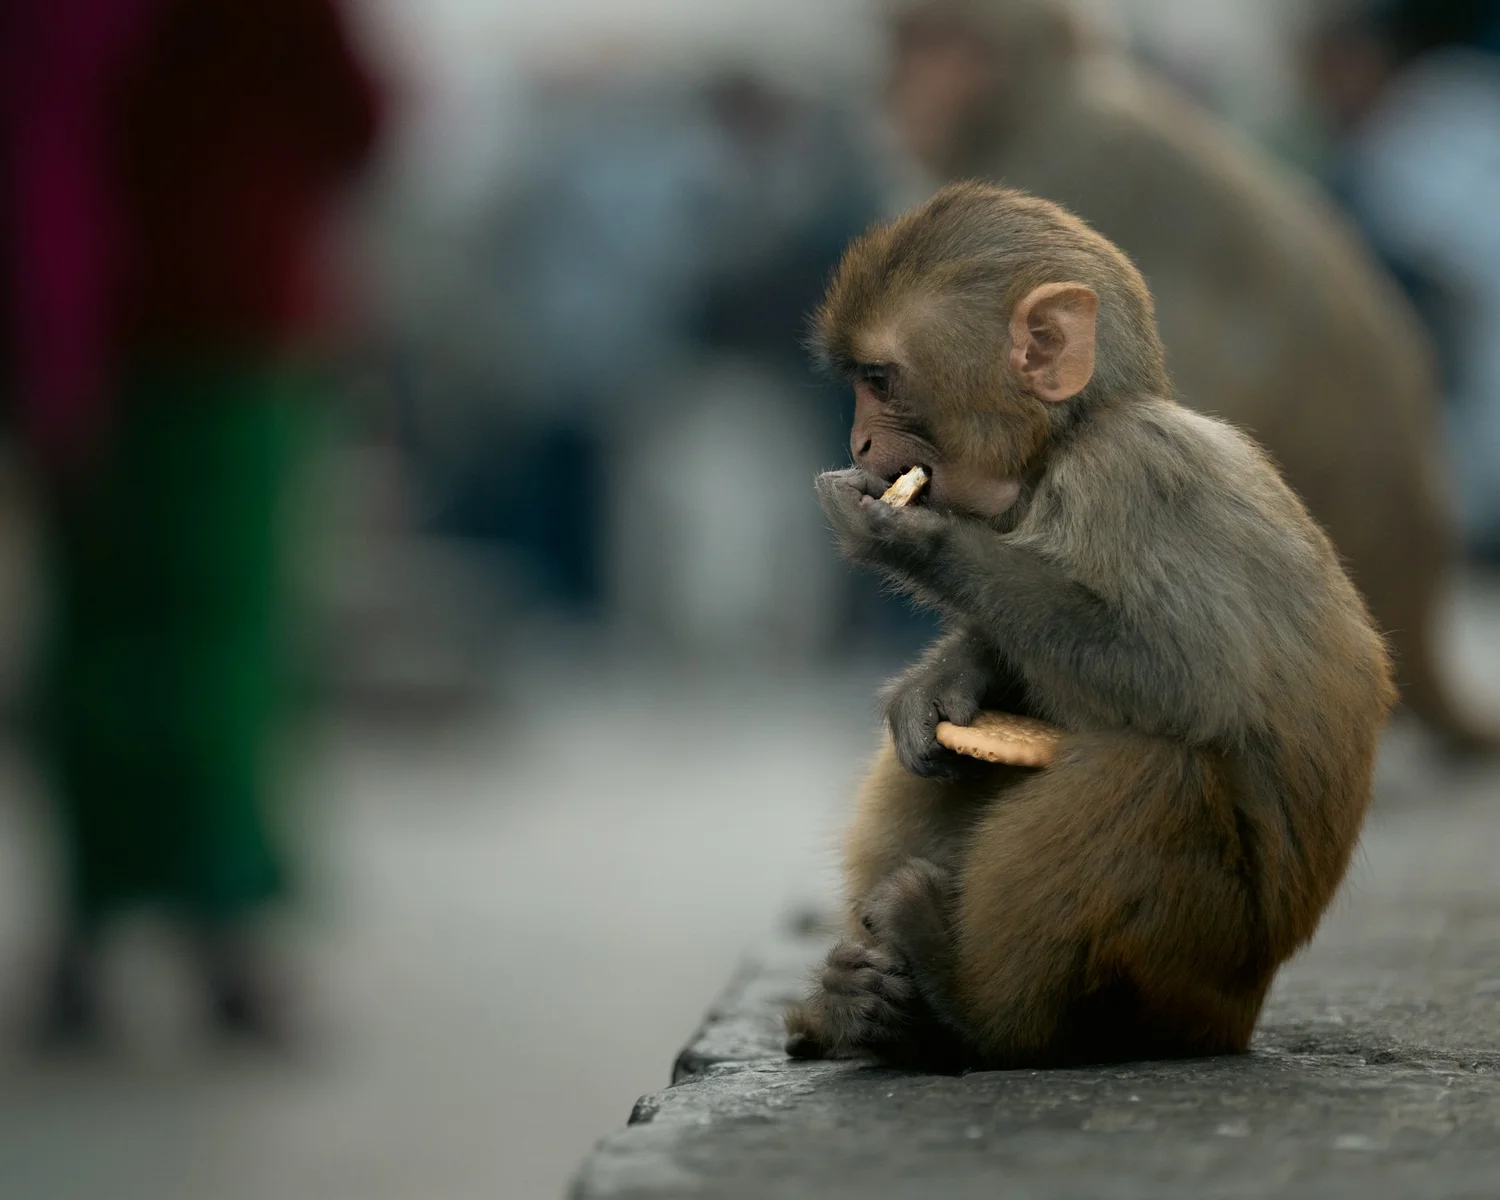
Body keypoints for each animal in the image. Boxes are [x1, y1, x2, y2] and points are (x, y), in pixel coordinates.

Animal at [782, 182, 1396, 1071]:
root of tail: (1236, 1018)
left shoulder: (1134, 473)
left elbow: (1186, 673)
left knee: (1152, 769)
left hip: (1191, 965)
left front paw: (913, 541)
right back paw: (861, 1007)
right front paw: (950, 677)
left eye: (879, 380)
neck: (1064, 444)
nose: (857, 441)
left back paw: (971, 1009)